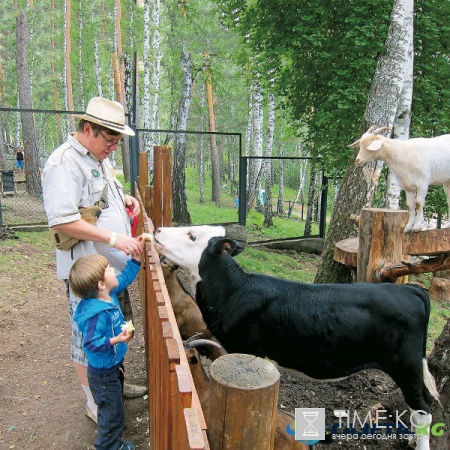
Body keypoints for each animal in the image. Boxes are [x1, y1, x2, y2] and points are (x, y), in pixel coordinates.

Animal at [154, 225, 440, 450]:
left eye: (192, 236)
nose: (156, 230)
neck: (233, 292)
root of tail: (411, 290)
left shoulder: (247, 350)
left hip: (405, 365)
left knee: (423, 410)